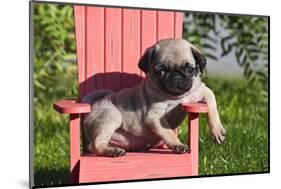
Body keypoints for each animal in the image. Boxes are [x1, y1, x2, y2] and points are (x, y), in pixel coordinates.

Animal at [81, 38, 225, 157]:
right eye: (161, 71)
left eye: (189, 69)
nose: (176, 77)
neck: (175, 98)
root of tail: (93, 106)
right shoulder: (155, 116)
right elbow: (168, 131)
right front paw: (177, 144)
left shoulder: (202, 91)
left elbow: (212, 105)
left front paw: (217, 130)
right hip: (110, 116)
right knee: (94, 145)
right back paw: (112, 151)